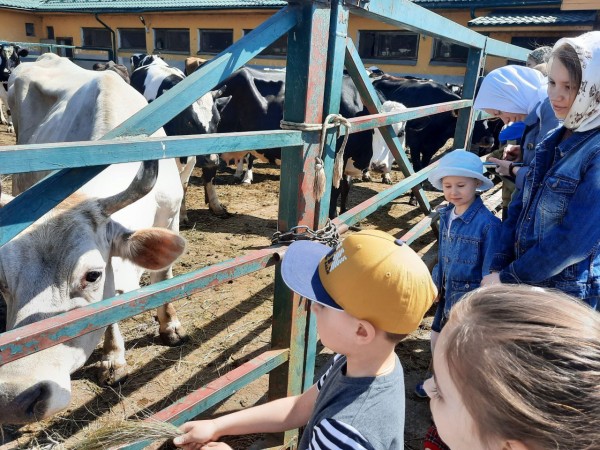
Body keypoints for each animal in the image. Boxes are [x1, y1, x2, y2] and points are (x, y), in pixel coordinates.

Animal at [0, 54, 186, 424]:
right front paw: (113, 358)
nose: (13, 398)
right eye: (2, 282)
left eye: (92, 275)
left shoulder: (171, 214)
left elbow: (164, 276)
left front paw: (169, 325)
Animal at [130, 55, 231, 221]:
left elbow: (183, 185)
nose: (211, 159)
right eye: (190, 121)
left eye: (218, 120)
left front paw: (182, 215)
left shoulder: (192, 160)